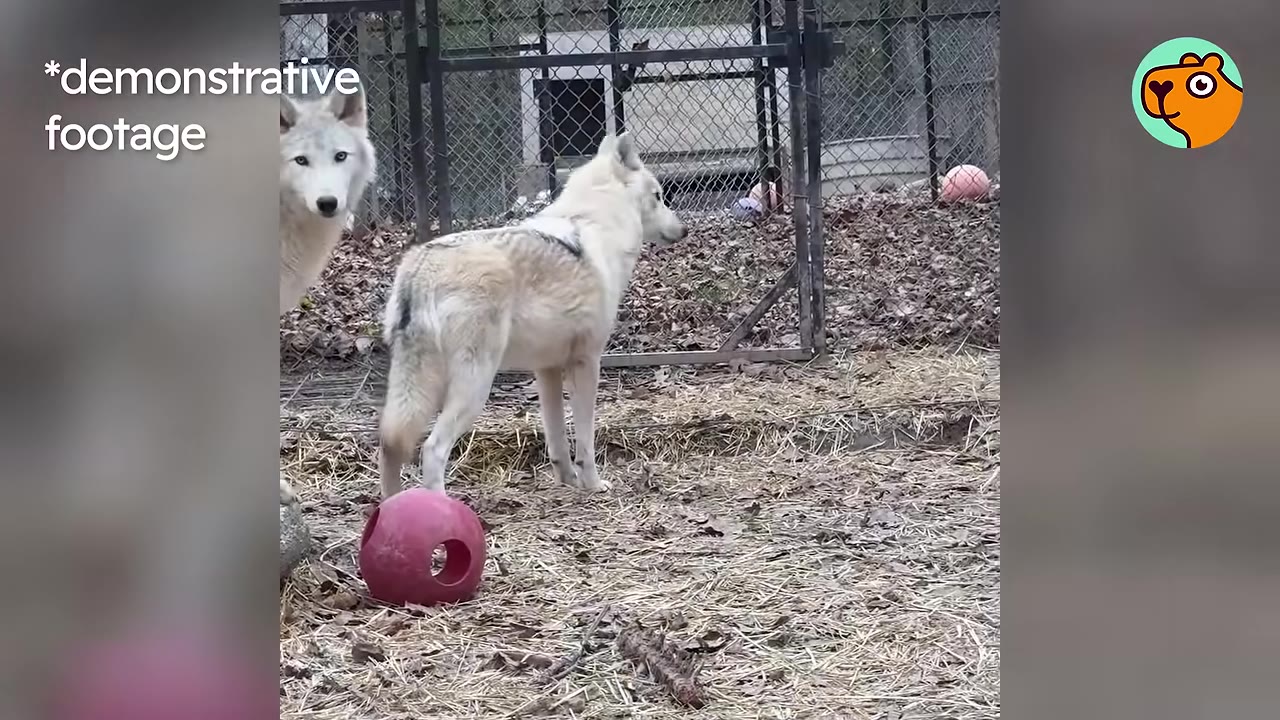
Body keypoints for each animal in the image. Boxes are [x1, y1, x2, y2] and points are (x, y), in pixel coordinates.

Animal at [377, 132, 686, 498]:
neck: (597, 222)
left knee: (391, 446)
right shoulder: (587, 361)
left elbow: (557, 437)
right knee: (432, 449)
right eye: (659, 196)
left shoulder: (547, 369)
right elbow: (585, 438)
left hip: (417, 390)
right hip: (475, 387)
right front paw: (593, 484)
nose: (683, 230)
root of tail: (420, 267)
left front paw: (567, 480)